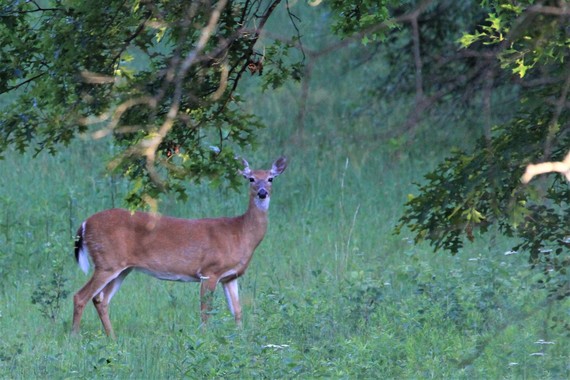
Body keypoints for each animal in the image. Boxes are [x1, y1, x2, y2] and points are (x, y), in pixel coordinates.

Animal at [71, 157, 286, 338]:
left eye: (270, 178)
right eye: (250, 179)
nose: (262, 193)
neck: (240, 232)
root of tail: (84, 224)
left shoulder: (230, 276)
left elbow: (237, 311)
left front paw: (241, 338)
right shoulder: (209, 271)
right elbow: (206, 311)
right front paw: (205, 338)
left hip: (122, 268)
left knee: (100, 299)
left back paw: (112, 338)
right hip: (107, 262)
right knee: (81, 296)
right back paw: (75, 337)